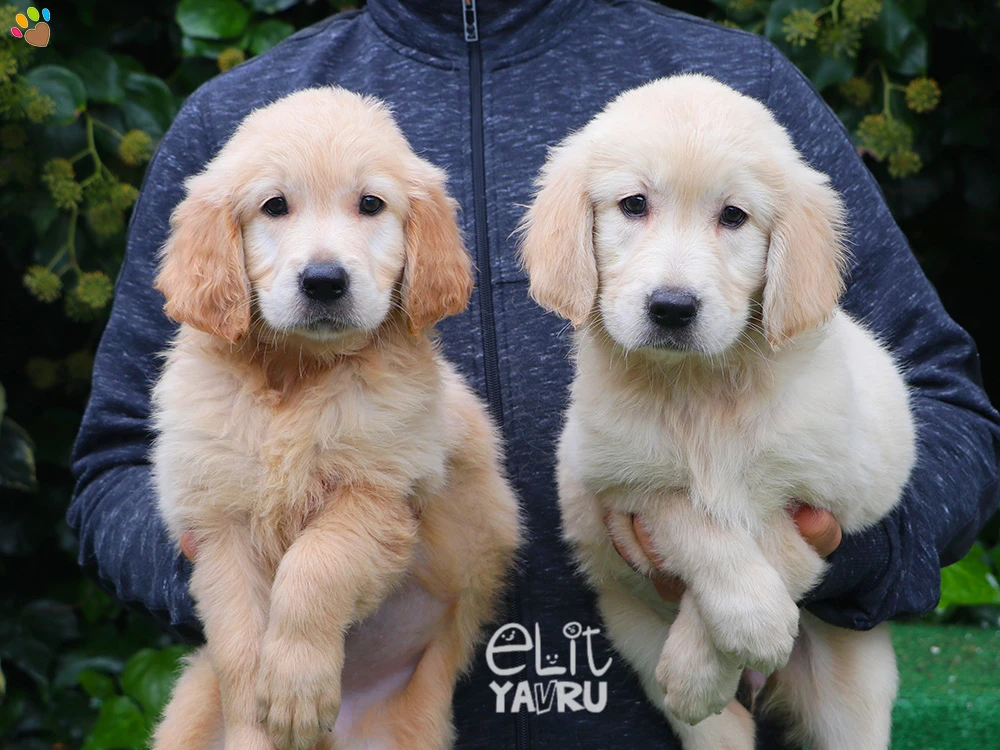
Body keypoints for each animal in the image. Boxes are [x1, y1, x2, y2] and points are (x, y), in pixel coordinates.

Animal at [151, 86, 524, 750]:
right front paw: (263, 716)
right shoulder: (219, 519)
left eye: (370, 204)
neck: (298, 376)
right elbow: (238, 638)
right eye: (274, 206)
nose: (324, 281)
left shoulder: (379, 490)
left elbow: (314, 567)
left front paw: (296, 688)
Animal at [520, 75, 916, 750]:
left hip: (852, 697)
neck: (698, 391)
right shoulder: (621, 479)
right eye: (634, 205)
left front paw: (725, 644)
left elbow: (772, 536)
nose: (672, 307)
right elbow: (694, 521)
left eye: (733, 216)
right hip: (636, 634)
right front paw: (734, 639)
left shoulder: (833, 491)